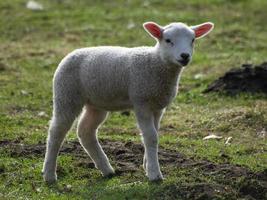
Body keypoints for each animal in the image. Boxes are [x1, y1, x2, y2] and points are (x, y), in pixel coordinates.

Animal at [42, 20, 214, 183]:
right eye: (168, 40)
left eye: (193, 40)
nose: (184, 56)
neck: (156, 62)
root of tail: (69, 54)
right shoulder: (141, 102)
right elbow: (151, 137)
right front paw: (154, 174)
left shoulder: (157, 106)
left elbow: (153, 135)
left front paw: (147, 165)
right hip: (66, 94)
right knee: (56, 131)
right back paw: (49, 174)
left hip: (96, 103)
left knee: (85, 131)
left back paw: (107, 170)